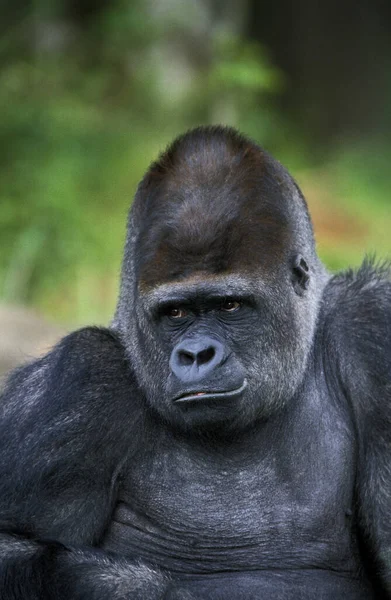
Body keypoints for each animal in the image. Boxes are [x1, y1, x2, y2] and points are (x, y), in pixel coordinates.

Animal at [0, 124, 390, 596]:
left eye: (230, 306)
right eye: (176, 313)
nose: (196, 354)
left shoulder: (372, 330)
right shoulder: (75, 384)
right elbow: (11, 546)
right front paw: (151, 589)